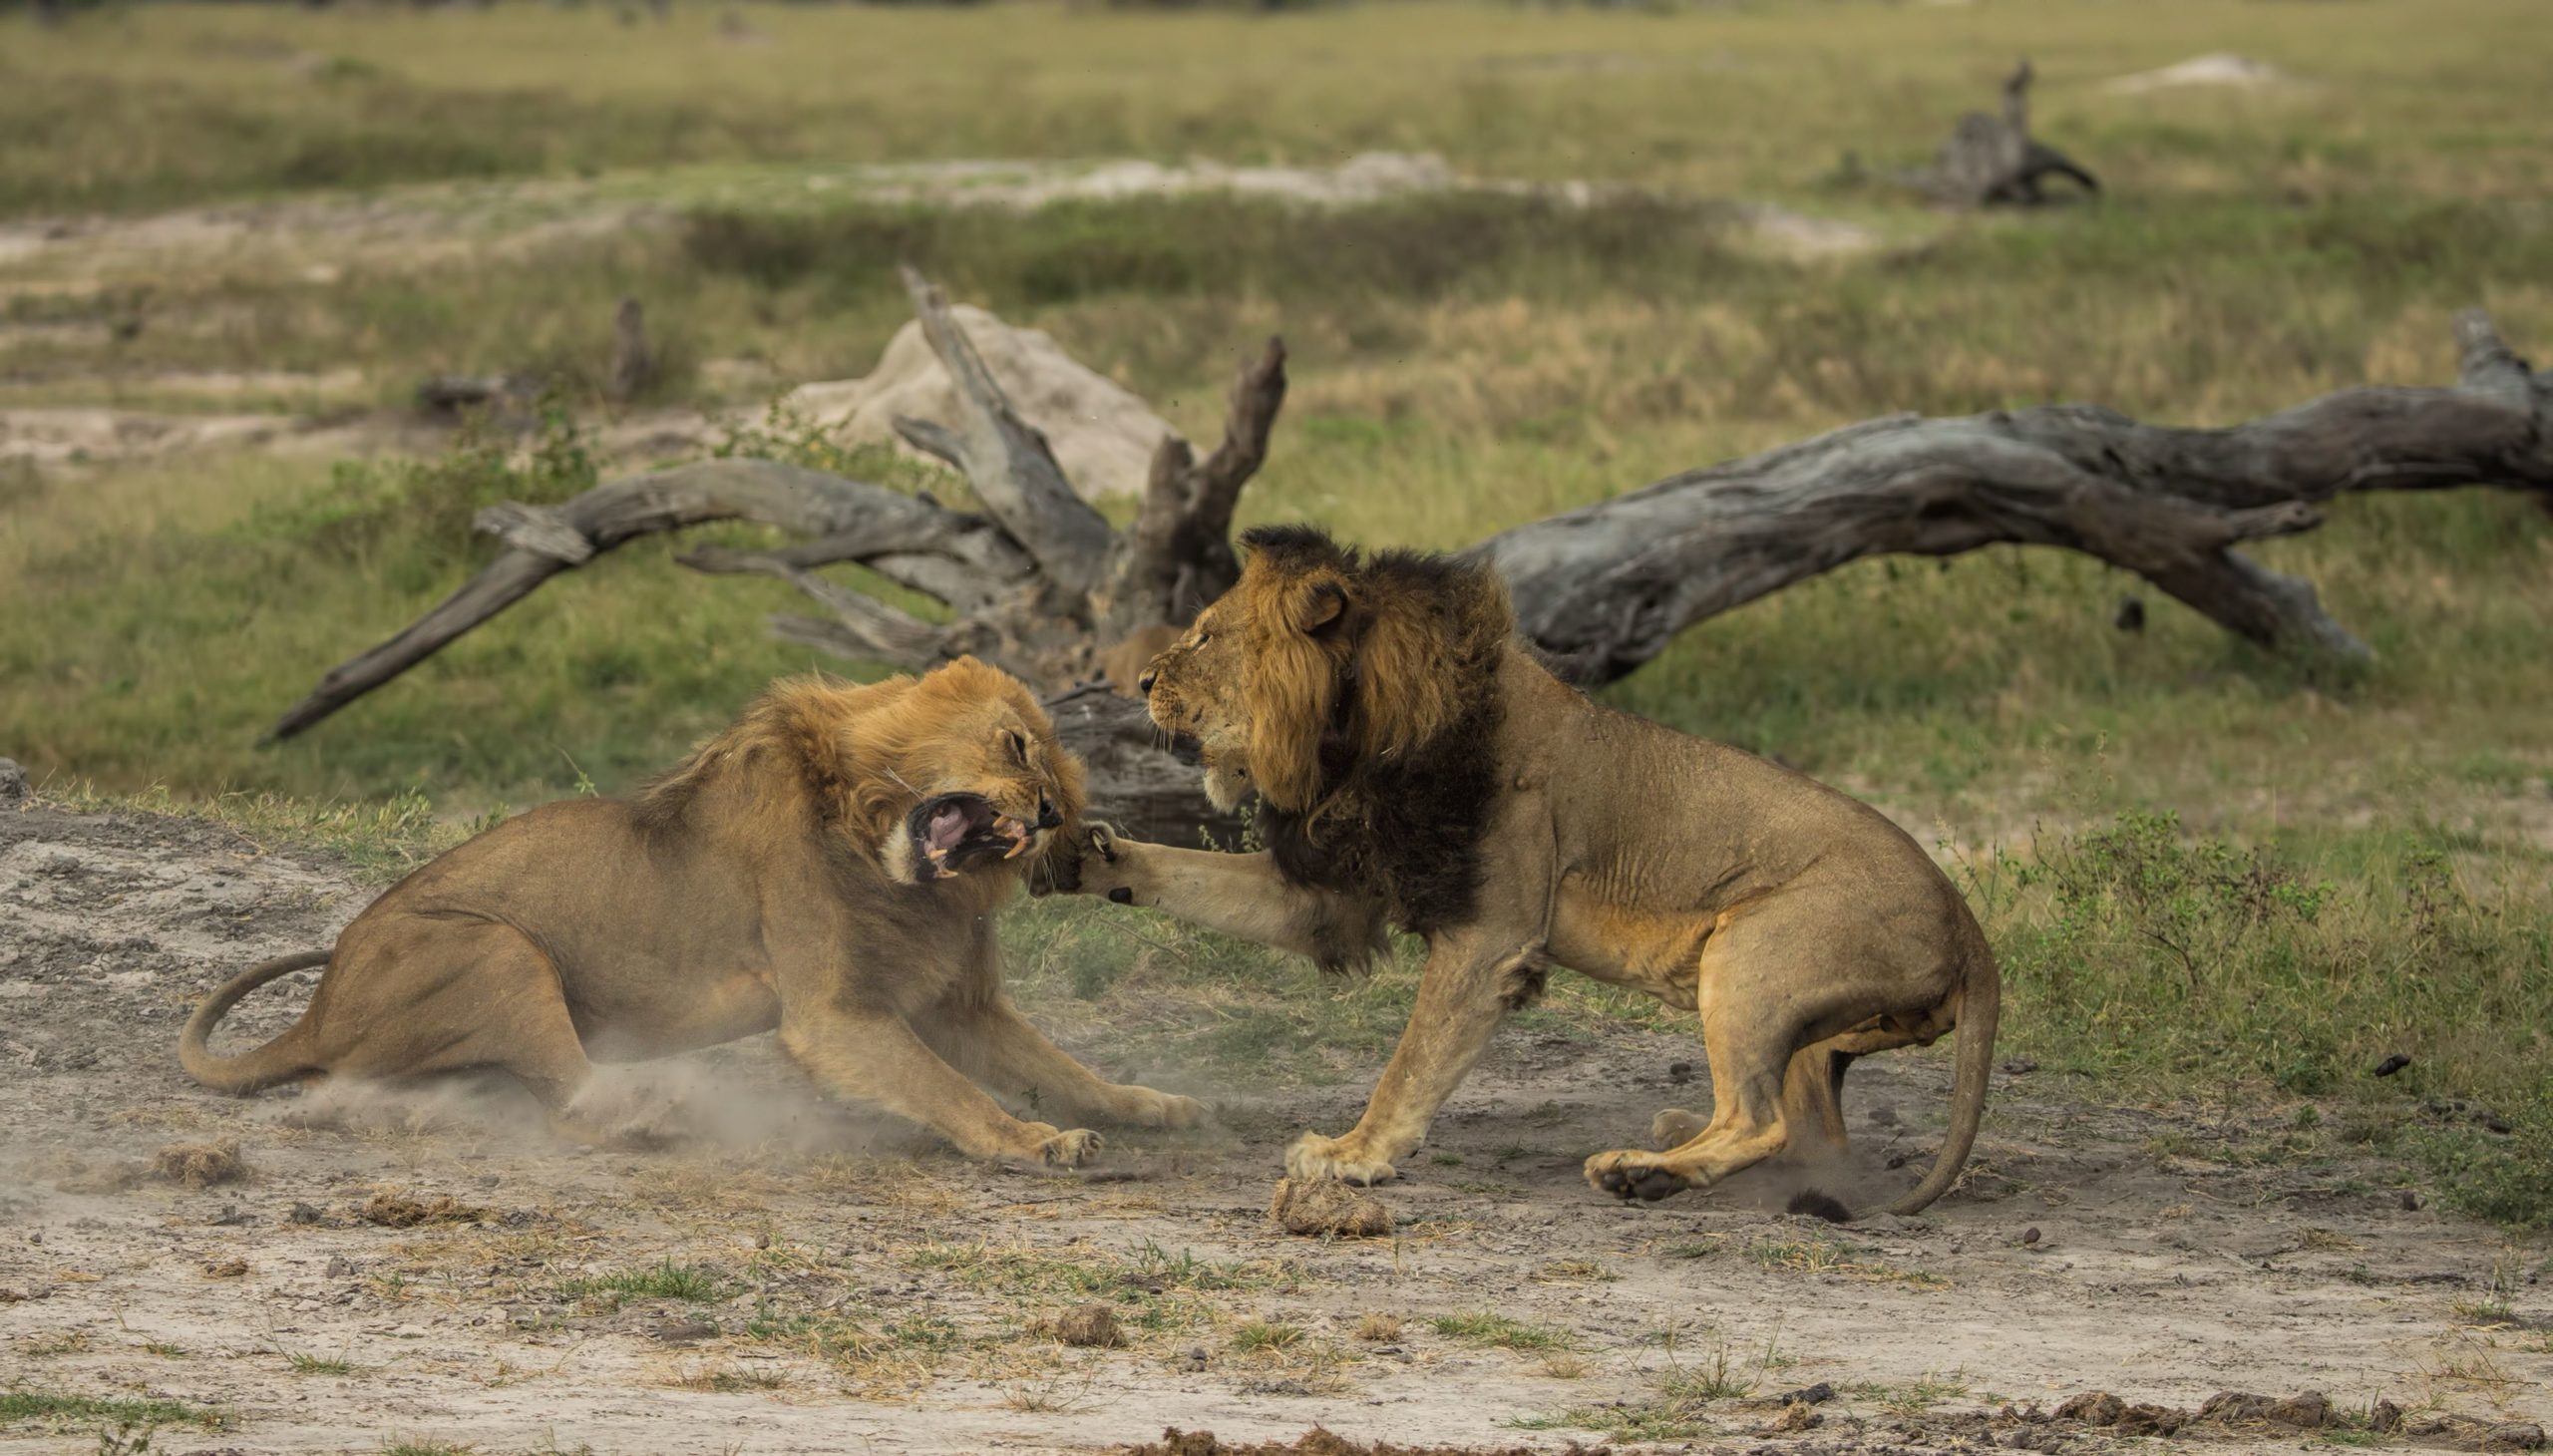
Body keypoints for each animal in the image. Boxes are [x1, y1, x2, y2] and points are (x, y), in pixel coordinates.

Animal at [184, 663, 1200, 1159]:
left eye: (1062, 796)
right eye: (1019, 745)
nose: (1045, 813)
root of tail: (315, 1014)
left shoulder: (961, 1004)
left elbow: (1059, 1066)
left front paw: (1143, 1105)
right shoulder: (835, 1015)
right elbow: (953, 1091)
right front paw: (1034, 1142)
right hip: (497, 948)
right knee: (572, 1101)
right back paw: (655, 1115)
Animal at [1056, 526, 1991, 1205]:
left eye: (1206, 635)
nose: (1140, 682)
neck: (1356, 737)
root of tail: (1972, 933)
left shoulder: (1491, 932)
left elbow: (1412, 1059)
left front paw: (1353, 1153)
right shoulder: (1337, 893)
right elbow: (1189, 874)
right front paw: (1092, 855)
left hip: (1753, 954)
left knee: (1761, 1122)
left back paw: (1639, 1172)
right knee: (1813, 1134)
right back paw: (1671, 1139)